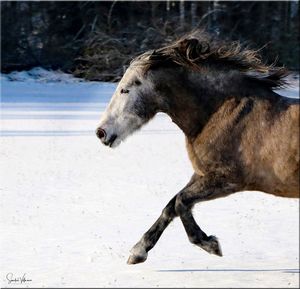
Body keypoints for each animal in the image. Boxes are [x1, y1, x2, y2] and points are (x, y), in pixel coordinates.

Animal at [95, 31, 298, 264]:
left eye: (125, 90)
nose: (101, 132)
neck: (221, 113)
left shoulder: (227, 180)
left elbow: (181, 202)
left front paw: (210, 244)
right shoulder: (202, 175)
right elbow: (171, 206)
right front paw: (138, 251)